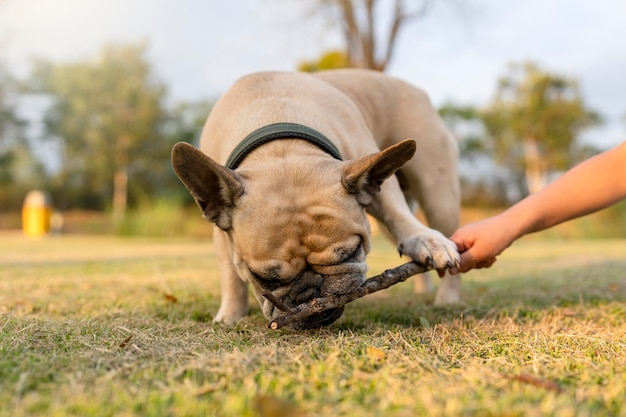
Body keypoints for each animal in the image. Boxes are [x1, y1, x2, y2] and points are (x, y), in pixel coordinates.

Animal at [171, 69, 458, 328]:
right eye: (264, 278)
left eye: (350, 253)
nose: (310, 294)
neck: (282, 146)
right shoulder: (222, 232)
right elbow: (230, 275)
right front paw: (230, 316)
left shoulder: (372, 175)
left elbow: (396, 211)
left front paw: (425, 239)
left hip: (438, 194)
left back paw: (446, 295)